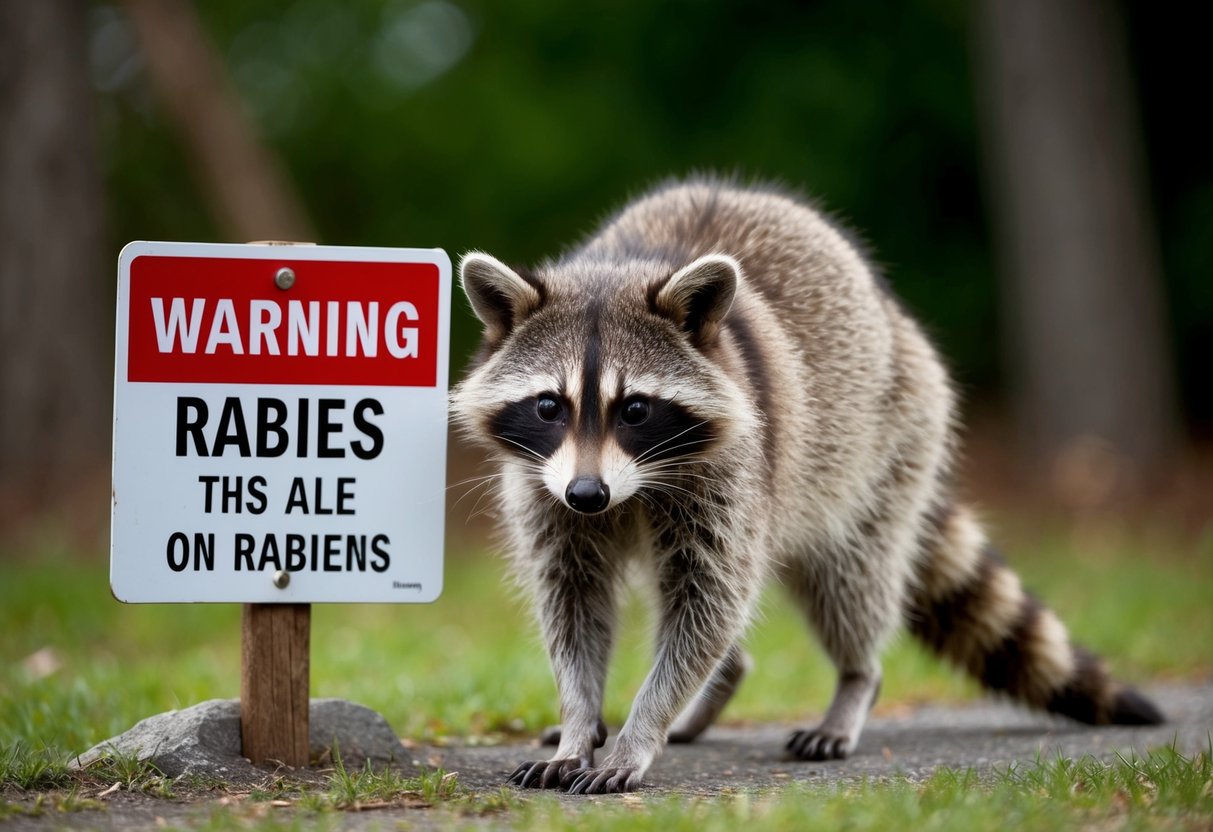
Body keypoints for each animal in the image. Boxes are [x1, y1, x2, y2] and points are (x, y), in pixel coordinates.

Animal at [450, 178, 1163, 795]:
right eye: (549, 406)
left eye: (635, 410)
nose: (588, 496)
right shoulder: (543, 488)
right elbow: (573, 606)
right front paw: (580, 722)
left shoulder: (730, 471)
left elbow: (707, 605)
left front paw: (641, 731)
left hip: (885, 443)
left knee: (849, 579)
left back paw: (854, 682)